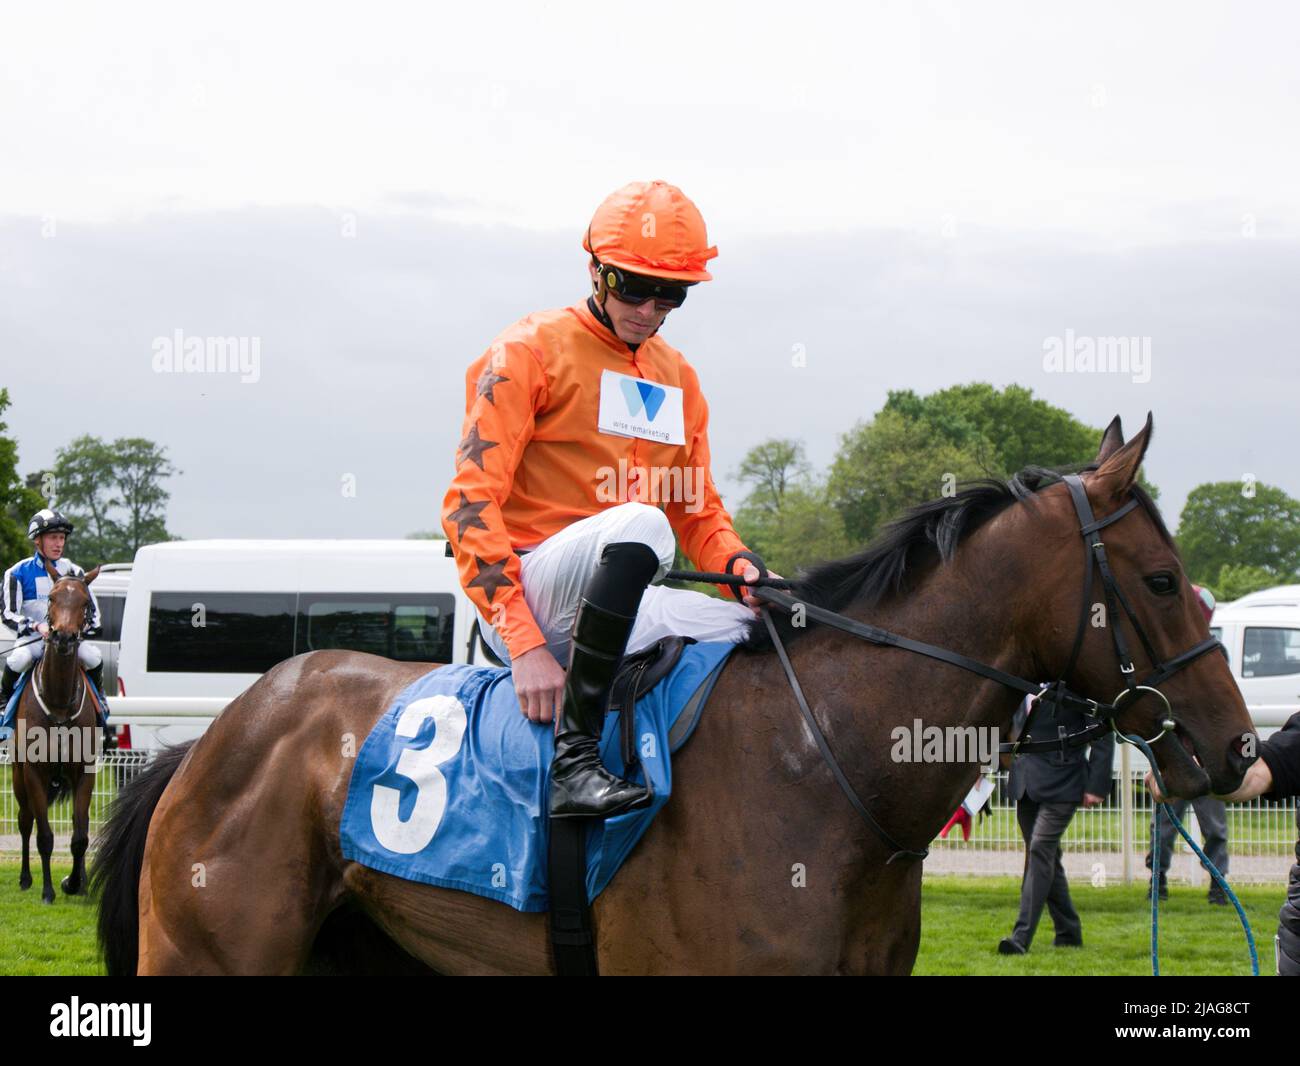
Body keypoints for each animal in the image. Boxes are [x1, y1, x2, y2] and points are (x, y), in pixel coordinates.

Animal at [11, 561, 101, 904]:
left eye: (86, 603)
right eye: (51, 598)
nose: (63, 637)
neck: (59, 703)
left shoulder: (84, 770)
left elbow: (80, 834)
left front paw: (76, 883)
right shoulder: (35, 771)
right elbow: (45, 836)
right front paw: (48, 890)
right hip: (17, 774)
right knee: (25, 822)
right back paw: (25, 878)